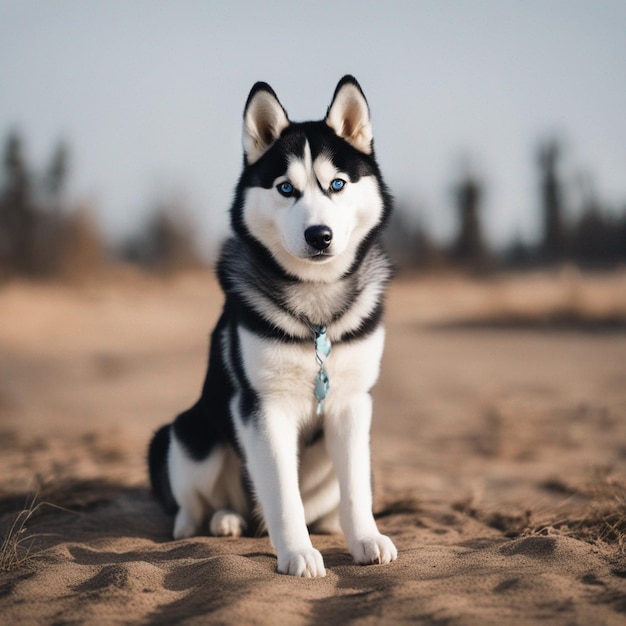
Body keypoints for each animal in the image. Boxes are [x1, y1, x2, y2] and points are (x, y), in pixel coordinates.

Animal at [147, 74, 394, 576]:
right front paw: (297, 553)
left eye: (337, 184)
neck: (317, 312)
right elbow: (282, 494)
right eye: (285, 189)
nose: (319, 236)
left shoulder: (352, 405)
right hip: (187, 435)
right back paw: (214, 521)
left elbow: (357, 488)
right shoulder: (264, 408)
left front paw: (365, 539)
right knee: (196, 504)